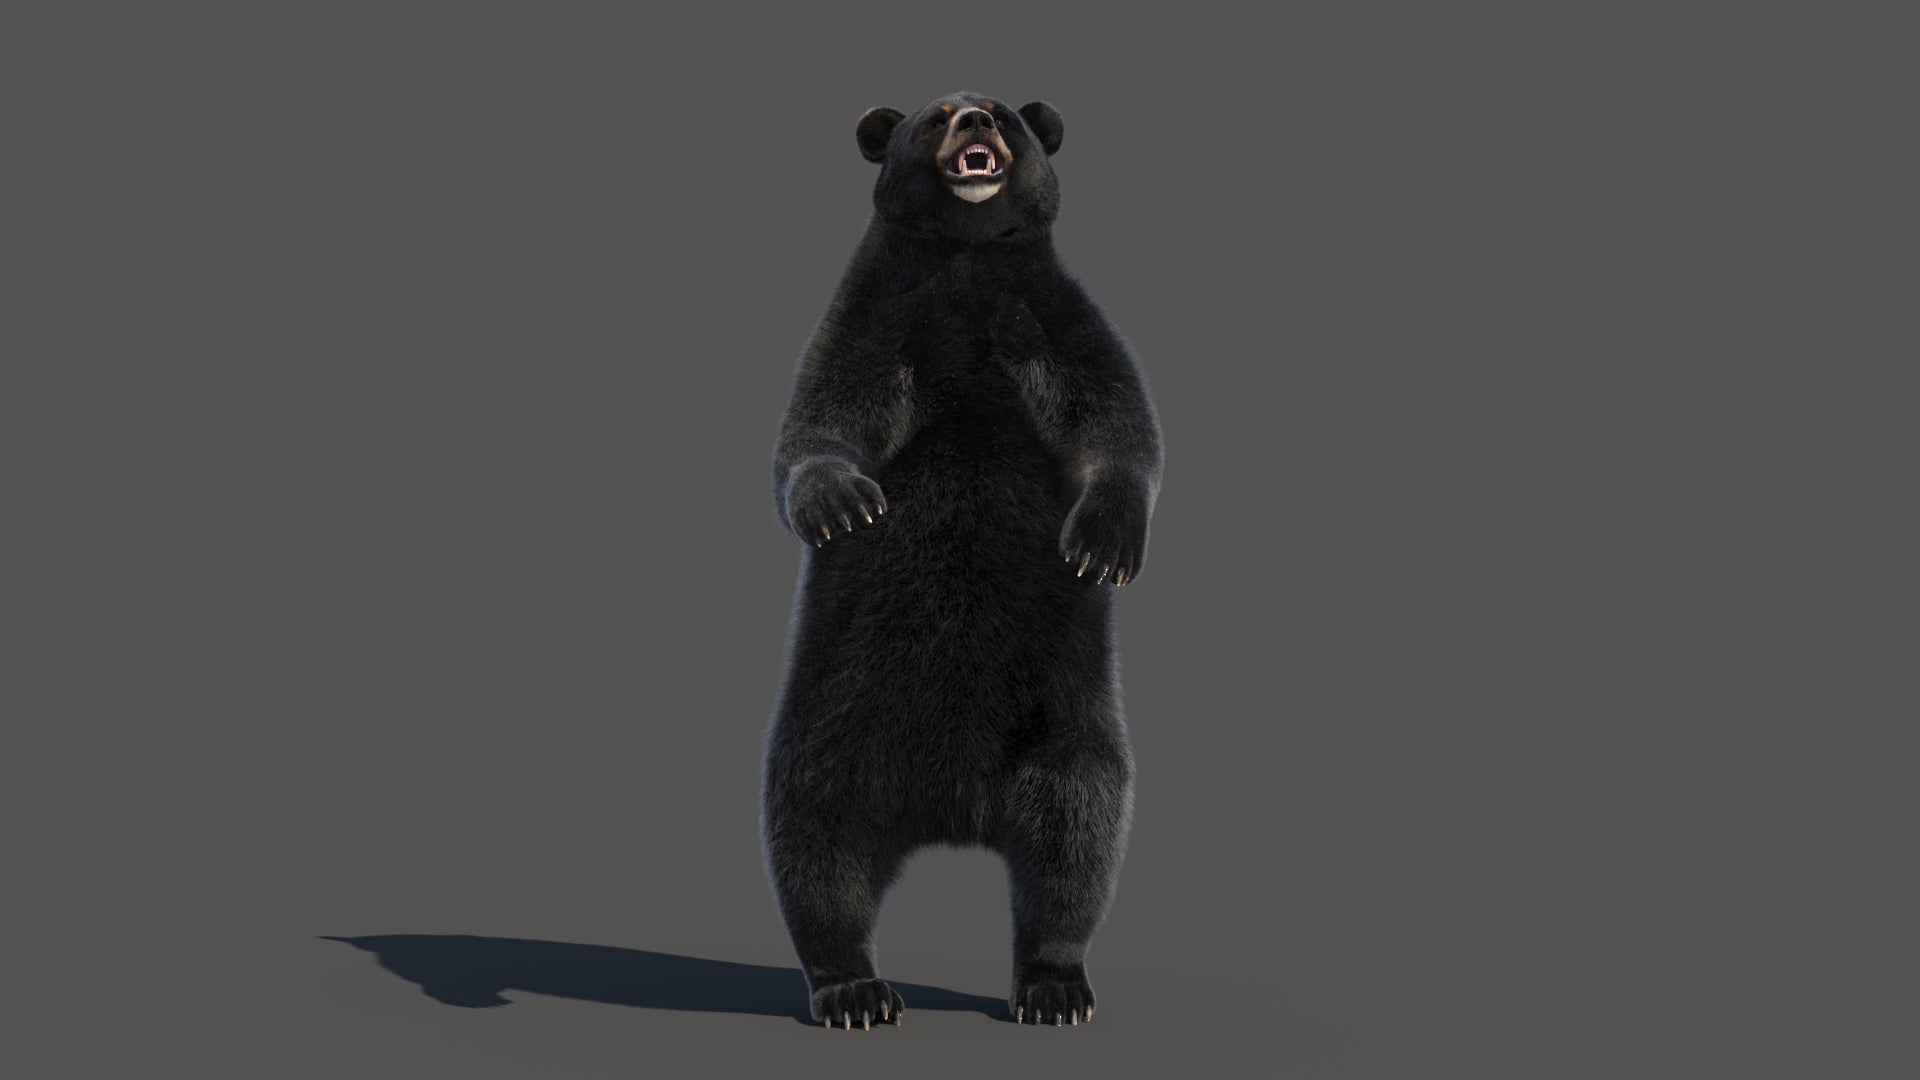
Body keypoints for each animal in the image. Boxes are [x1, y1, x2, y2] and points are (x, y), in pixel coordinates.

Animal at [761, 91, 1164, 1030]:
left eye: (1007, 113)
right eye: (935, 115)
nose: (975, 118)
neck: (965, 262)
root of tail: (950, 809)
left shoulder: (1054, 318)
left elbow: (1119, 420)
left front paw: (1102, 545)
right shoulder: (878, 320)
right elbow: (816, 423)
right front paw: (843, 505)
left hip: (1061, 725)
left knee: (1078, 829)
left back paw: (1054, 983)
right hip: (830, 728)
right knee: (812, 834)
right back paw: (853, 988)